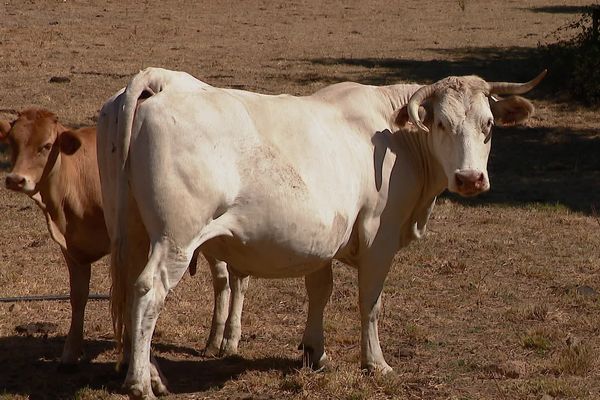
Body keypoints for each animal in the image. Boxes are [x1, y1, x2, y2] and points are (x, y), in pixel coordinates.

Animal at [0, 108, 248, 368]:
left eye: (46, 145)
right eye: (12, 142)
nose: (15, 179)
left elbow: (129, 294)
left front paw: (130, 352)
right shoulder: (71, 248)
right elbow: (78, 296)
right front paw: (70, 353)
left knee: (234, 280)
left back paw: (228, 340)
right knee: (222, 280)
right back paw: (214, 341)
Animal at [97, 67, 544, 398]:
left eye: (489, 125)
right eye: (440, 123)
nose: (470, 178)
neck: (395, 136)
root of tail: (162, 80)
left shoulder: (320, 240)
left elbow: (320, 291)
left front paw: (316, 352)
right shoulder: (379, 238)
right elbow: (370, 303)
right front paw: (376, 363)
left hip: (132, 232)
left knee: (131, 293)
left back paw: (151, 373)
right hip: (176, 239)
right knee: (148, 291)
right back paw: (140, 384)